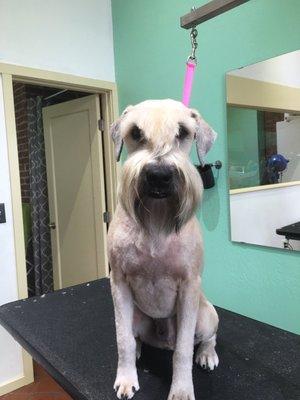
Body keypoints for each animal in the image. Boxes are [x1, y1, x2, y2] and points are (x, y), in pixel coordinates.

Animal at [107, 97, 218, 400]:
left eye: (183, 132)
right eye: (135, 132)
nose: (159, 175)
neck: (156, 220)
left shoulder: (189, 287)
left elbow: (183, 351)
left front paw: (181, 390)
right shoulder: (119, 283)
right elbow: (122, 340)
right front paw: (125, 379)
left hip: (205, 315)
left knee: (207, 337)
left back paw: (207, 354)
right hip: (136, 317)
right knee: (135, 339)